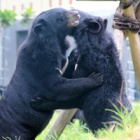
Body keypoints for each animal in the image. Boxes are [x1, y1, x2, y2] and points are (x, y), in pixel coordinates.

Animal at [0, 8, 103, 139]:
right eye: (60, 18)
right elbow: (56, 86)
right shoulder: (40, 62)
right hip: (17, 130)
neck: (57, 41)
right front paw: (96, 78)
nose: (77, 14)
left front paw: (75, 55)